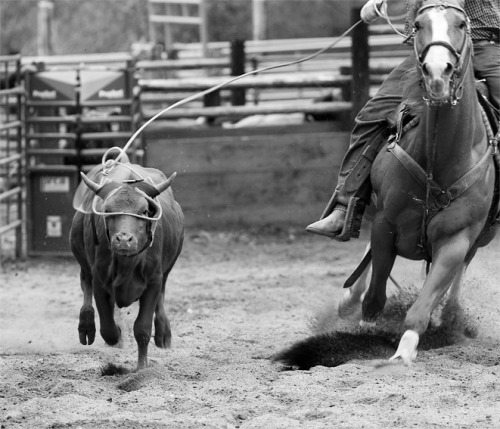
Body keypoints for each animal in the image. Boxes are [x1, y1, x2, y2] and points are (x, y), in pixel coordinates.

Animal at [338, 0, 498, 364]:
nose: (438, 73)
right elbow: (375, 295)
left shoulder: (456, 240)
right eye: (420, 23)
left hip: (479, 238)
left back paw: (451, 317)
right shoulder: (386, 224)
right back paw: (348, 297)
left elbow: (423, 305)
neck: (439, 159)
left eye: (461, 24)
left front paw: (403, 353)